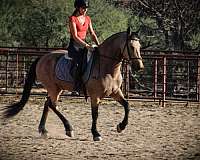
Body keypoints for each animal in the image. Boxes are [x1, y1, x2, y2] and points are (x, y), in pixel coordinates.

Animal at [2, 27, 144, 141]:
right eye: (131, 47)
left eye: (140, 47)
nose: (140, 67)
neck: (106, 66)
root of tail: (42, 57)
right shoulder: (95, 96)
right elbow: (95, 114)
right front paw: (96, 134)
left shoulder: (115, 92)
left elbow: (127, 105)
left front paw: (121, 126)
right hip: (53, 88)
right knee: (52, 105)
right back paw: (68, 129)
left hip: (57, 88)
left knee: (48, 104)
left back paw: (43, 130)